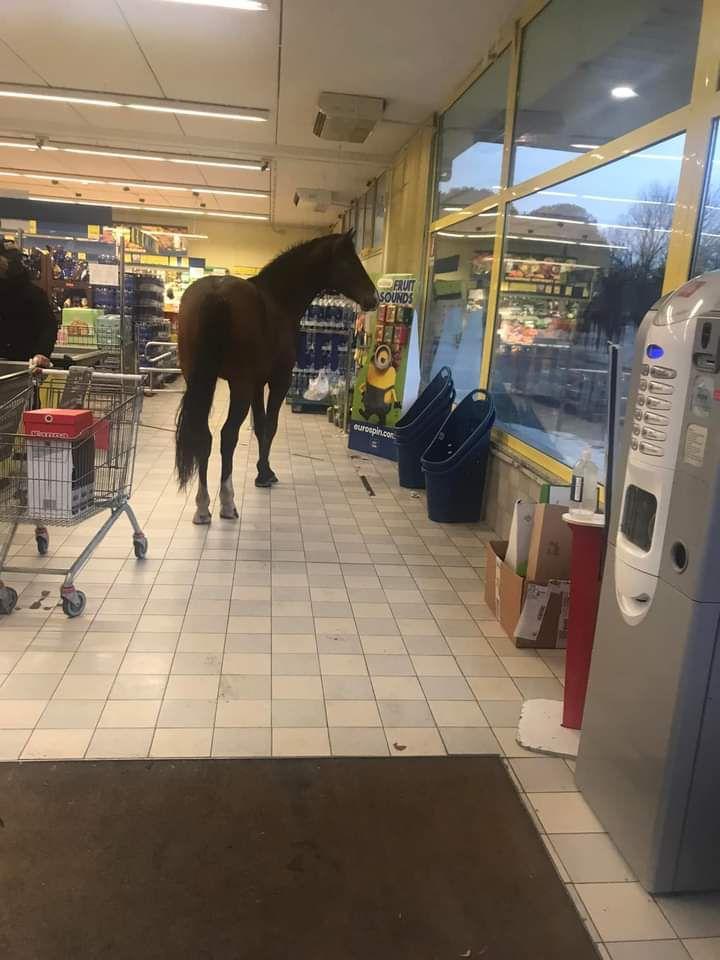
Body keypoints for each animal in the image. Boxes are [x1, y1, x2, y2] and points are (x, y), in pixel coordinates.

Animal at [175, 230, 378, 524]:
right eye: (350, 261)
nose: (374, 297)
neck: (277, 300)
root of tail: (216, 292)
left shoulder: (258, 384)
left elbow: (260, 425)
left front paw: (263, 470)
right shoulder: (277, 381)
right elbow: (270, 425)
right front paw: (264, 475)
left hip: (201, 382)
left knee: (204, 435)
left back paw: (202, 507)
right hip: (239, 386)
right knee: (227, 435)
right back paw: (226, 502)